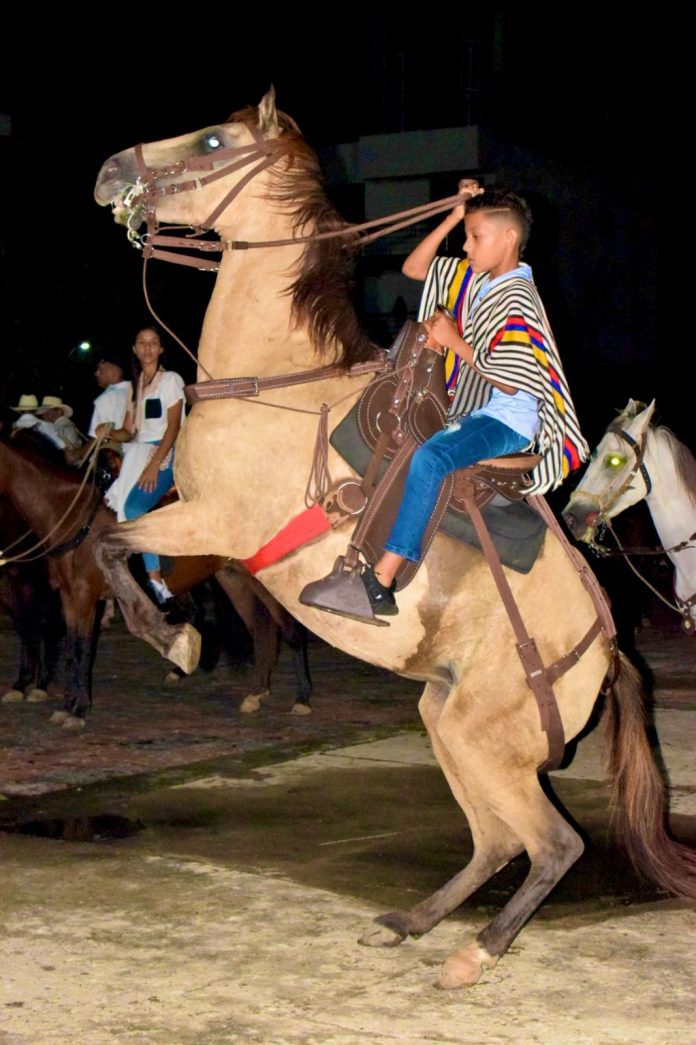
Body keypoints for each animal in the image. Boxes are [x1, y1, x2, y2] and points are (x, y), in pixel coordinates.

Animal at [0, 432, 309, 727]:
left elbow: (80, 648)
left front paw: (77, 709)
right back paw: (257, 693)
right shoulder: (68, 597)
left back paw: (302, 699)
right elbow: (70, 648)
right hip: (232, 579)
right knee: (259, 629)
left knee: (289, 628)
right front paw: (65, 706)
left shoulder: (84, 598)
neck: (72, 519)